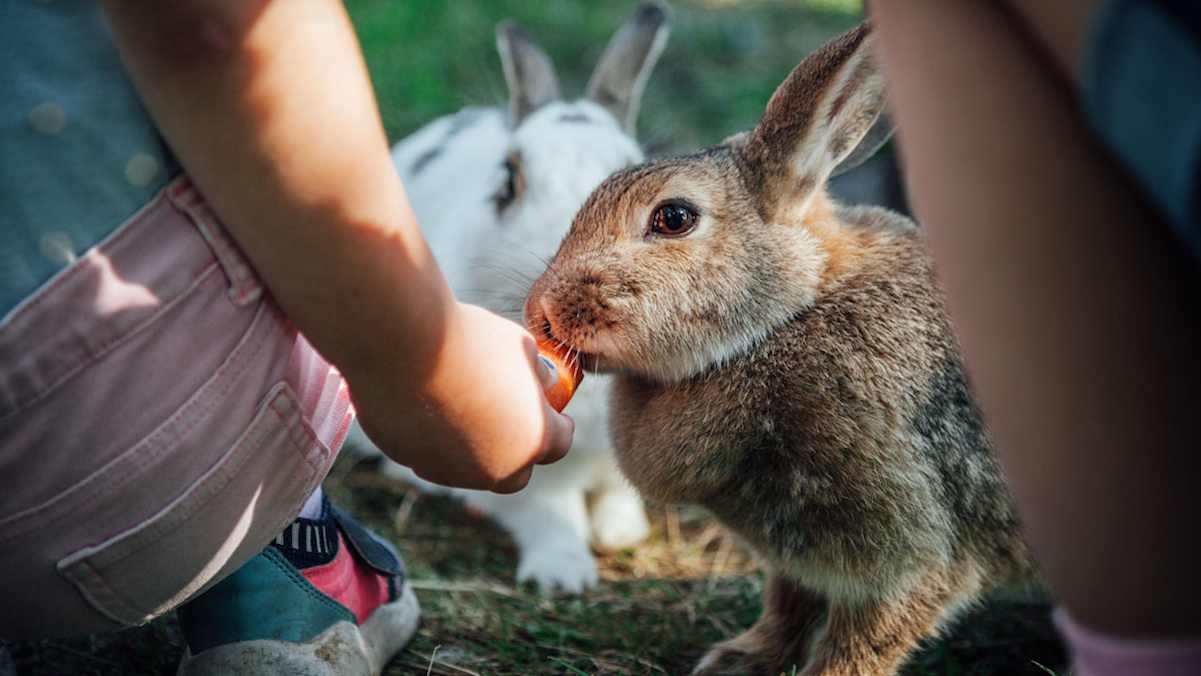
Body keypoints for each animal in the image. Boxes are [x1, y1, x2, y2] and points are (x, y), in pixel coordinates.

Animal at [524, 22, 1037, 676]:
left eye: (673, 217)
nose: (542, 309)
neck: (785, 320)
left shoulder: (913, 549)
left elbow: (866, 637)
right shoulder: (797, 556)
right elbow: (787, 602)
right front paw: (738, 659)